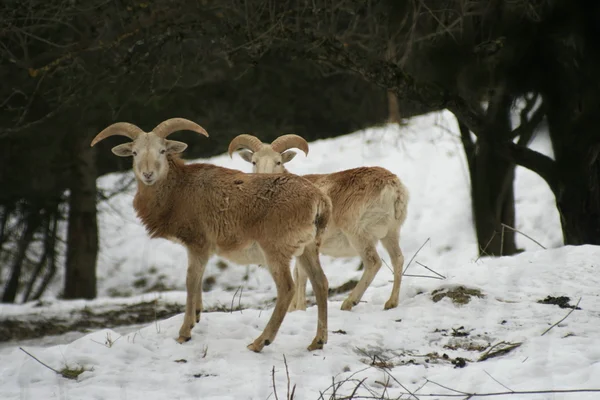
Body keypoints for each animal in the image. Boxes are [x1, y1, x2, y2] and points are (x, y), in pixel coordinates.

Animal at [92, 119, 332, 354]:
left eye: (162, 150)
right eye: (134, 152)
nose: (148, 174)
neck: (178, 191)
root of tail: (318, 199)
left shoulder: (197, 245)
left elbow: (191, 281)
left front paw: (184, 333)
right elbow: (198, 282)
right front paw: (196, 317)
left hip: (275, 253)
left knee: (287, 289)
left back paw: (259, 342)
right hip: (308, 249)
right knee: (320, 283)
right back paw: (317, 342)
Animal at [227, 134, 410, 312]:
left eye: (278, 161)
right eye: (254, 161)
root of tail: (392, 187)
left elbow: (301, 275)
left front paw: (298, 309)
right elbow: (298, 274)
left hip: (358, 235)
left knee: (373, 263)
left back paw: (349, 303)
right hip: (390, 234)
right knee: (397, 259)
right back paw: (391, 303)